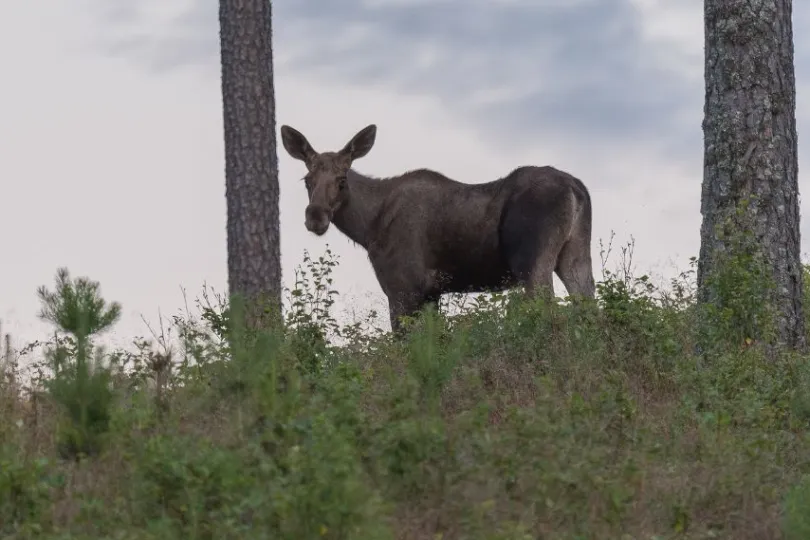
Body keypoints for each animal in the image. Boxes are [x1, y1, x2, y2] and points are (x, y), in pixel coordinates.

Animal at [280, 123, 592, 334]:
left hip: (531, 260)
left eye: (342, 180)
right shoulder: (432, 293)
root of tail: (577, 189)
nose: (315, 216)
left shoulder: (403, 287)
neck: (368, 229)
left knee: (551, 312)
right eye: (307, 179)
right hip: (575, 254)